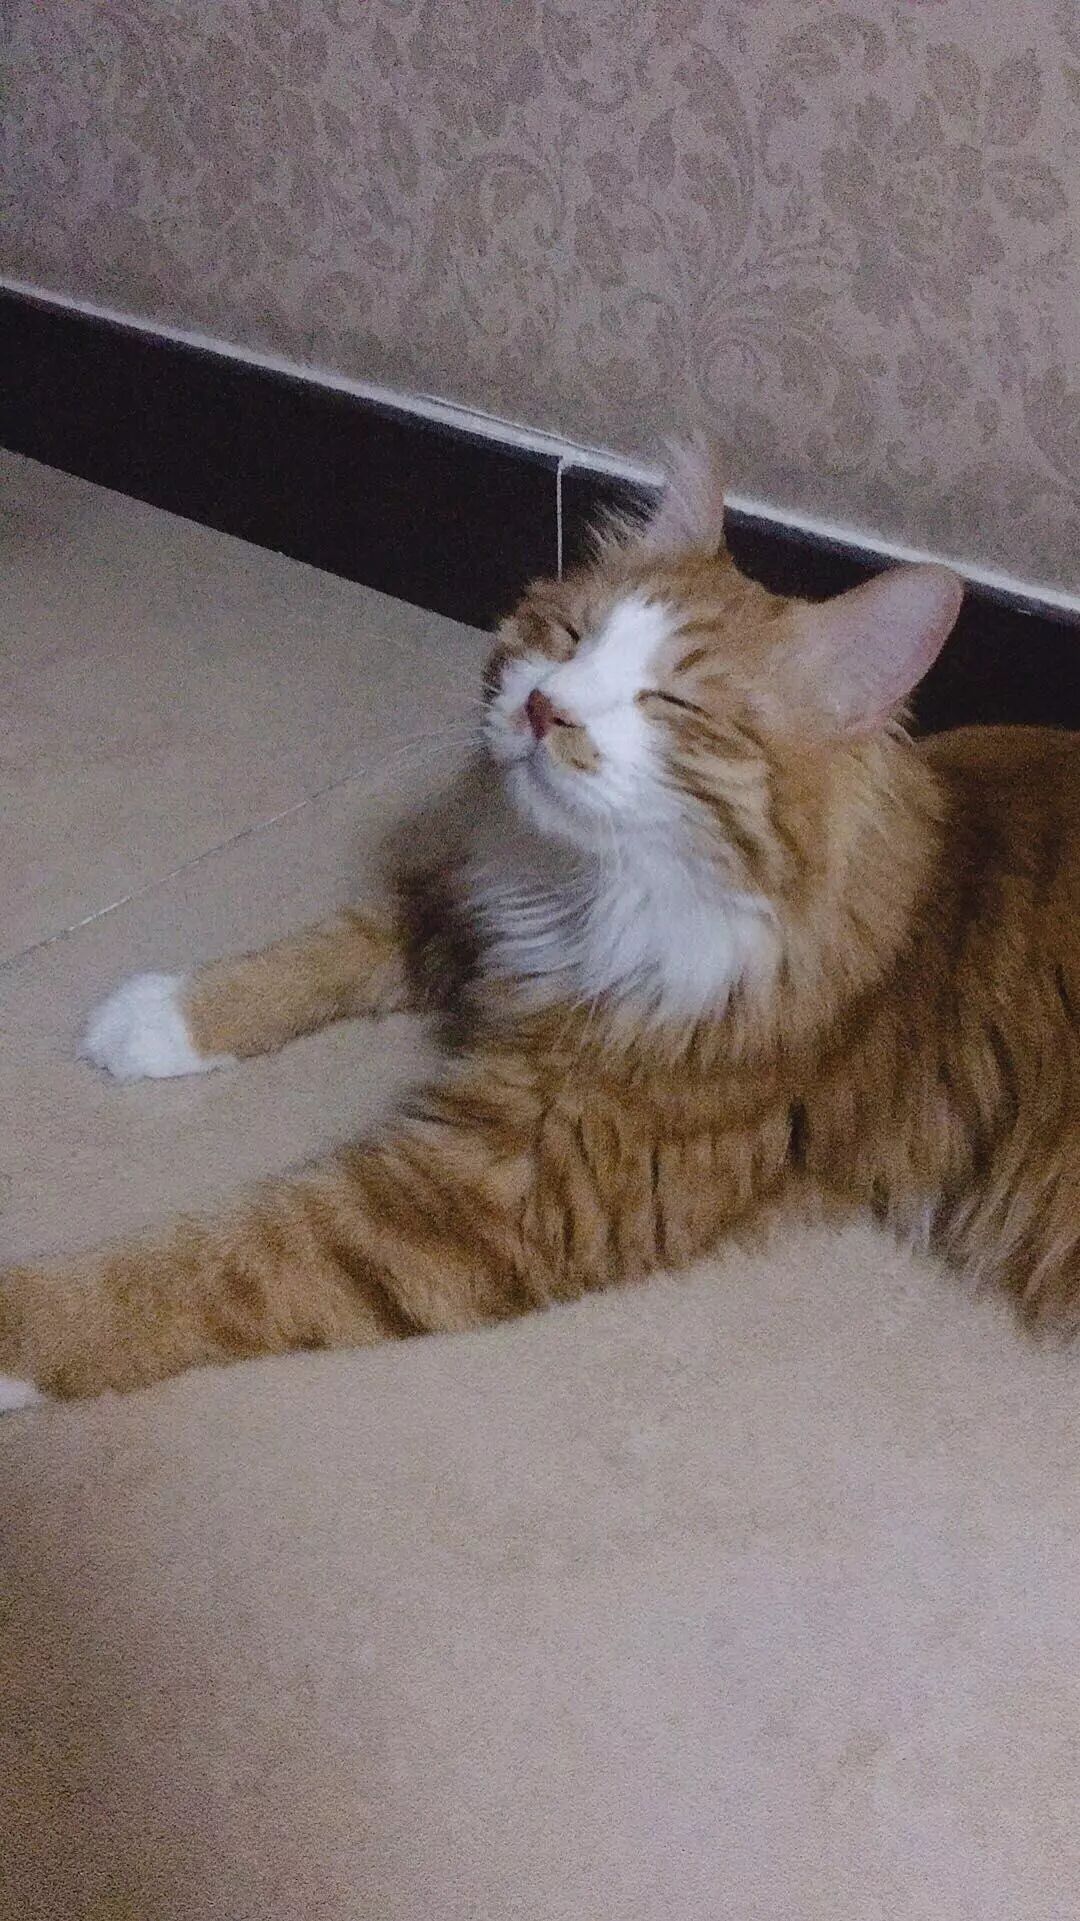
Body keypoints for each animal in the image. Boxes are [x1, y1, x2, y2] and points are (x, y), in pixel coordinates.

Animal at [1, 444, 1077, 1408]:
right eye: (565, 636)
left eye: (671, 701)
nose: (543, 707)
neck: (596, 896)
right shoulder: (484, 917)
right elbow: (326, 950)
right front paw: (158, 1019)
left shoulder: (506, 1185)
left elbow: (217, 1263)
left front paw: (20, 1326)